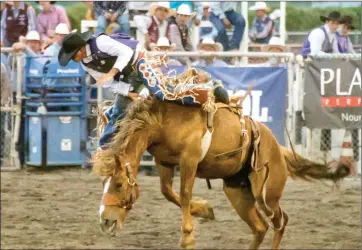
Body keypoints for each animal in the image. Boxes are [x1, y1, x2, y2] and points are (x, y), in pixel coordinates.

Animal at [92, 95, 352, 248]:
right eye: (104, 184)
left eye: (118, 184)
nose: (104, 221)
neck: (163, 121)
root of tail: (278, 148)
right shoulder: (164, 162)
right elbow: (168, 192)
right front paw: (204, 210)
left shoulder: (189, 160)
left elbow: (183, 194)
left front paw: (188, 236)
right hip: (237, 192)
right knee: (260, 227)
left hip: (267, 194)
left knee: (280, 221)